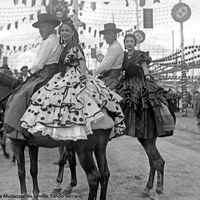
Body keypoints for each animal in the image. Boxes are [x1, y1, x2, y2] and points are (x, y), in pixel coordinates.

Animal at [0, 72, 114, 200]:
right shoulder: (32, 145)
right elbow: (33, 170)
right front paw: (35, 195)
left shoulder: (16, 143)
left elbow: (21, 172)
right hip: (100, 147)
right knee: (105, 174)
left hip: (83, 150)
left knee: (93, 178)